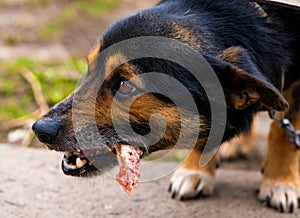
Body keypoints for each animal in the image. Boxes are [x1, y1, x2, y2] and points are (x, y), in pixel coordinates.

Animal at [31, 0, 298, 214]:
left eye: (124, 85)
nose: (40, 129)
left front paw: (280, 182)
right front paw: (196, 169)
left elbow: (283, 135)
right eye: (89, 69)